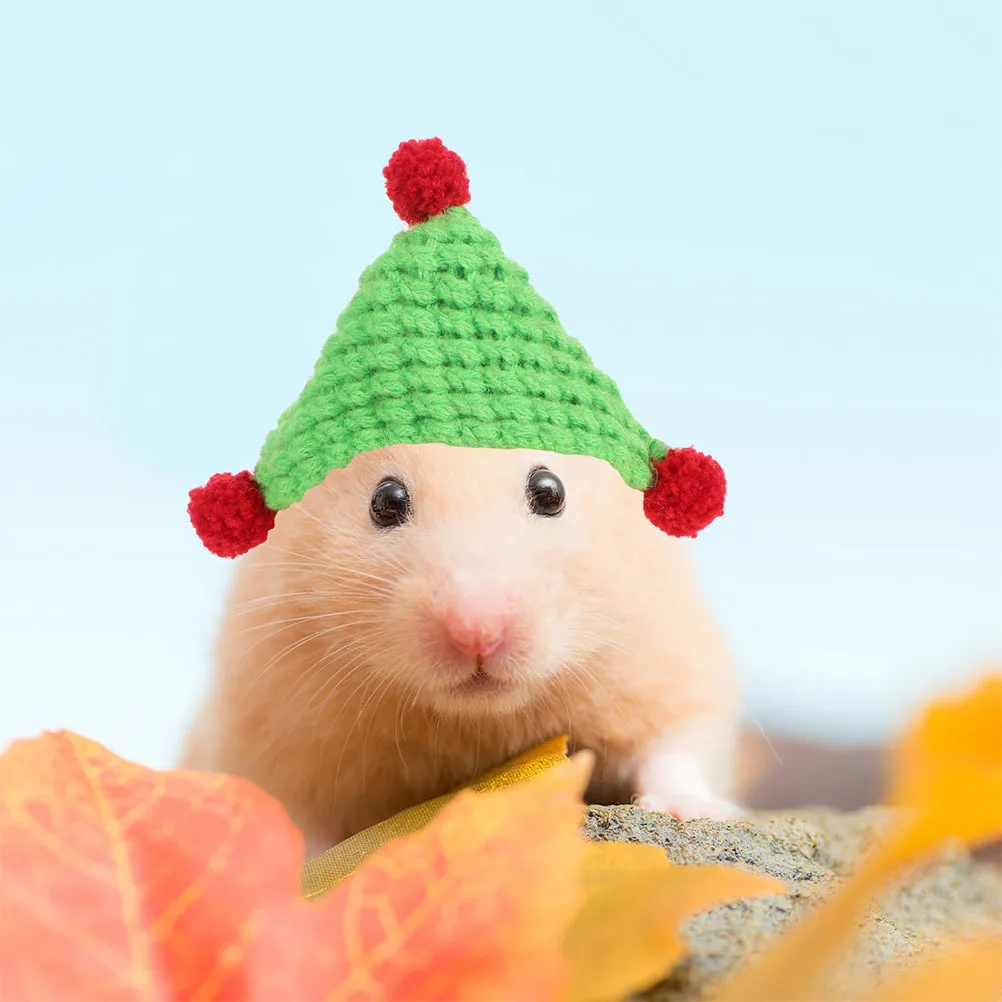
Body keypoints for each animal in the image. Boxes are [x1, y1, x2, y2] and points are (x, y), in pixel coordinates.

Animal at [181, 442, 742, 857]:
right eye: (386, 501)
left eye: (550, 492)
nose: (478, 633)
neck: (476, 723)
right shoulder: (269, 727)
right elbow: (295, 821)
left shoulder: (670, 663)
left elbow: (675, 749)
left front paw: (694, 812)